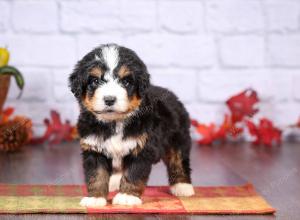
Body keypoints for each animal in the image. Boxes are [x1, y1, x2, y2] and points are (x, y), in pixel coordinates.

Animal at [69, 43, 193, 207]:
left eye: (125, 82)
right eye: (95, 81)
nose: (109, 99)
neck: (115, 122)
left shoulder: (141, 148)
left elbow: (134, 173)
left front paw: (127, 196)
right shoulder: (94, 148)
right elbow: (96, 175)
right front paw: (95, 198)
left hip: (178, 138)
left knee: (178, 160)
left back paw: (182, 186)